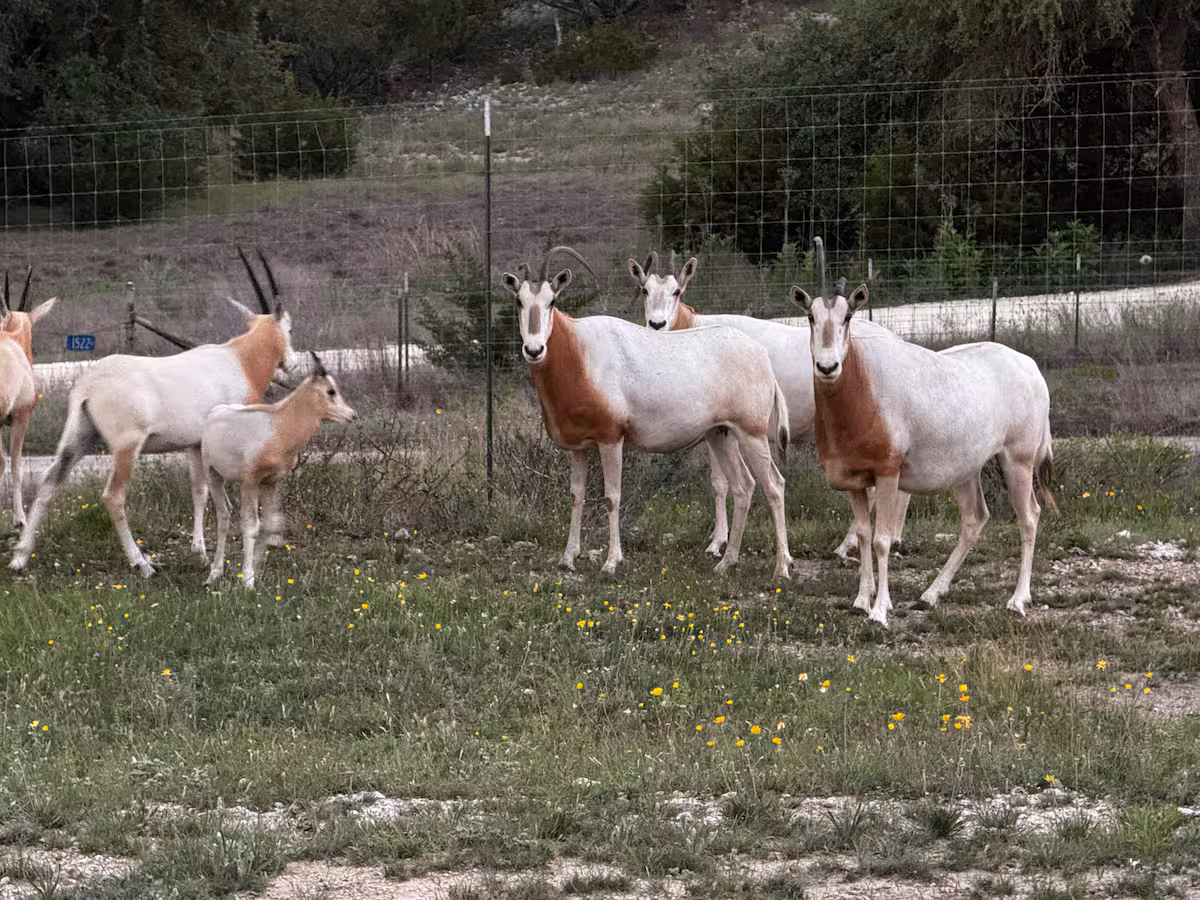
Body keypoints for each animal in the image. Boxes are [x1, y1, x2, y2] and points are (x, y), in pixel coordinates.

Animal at [11, 248, 294, 576]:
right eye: (290, 327)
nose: (291, 362)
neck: (240, 359)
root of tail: (88, 386)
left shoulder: (195, 445)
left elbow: (199, 491)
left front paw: (199, 551)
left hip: (78, 439)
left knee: (49, 482)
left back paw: (20, 557)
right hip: (127, 446)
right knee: (113, 496)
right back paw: (142, 564)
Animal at [203, 352, 356, 588]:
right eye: (331, 391)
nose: (352, 415)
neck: (278, 424)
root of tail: (214, 413)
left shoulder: (271, 481)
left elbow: (270, 524)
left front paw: (256, 569)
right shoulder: (250, 481)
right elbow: (251, 526)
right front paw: (248, 579)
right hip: (212, 474)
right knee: (223, 515)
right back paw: (214, 573)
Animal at [503, 247, 793, 580]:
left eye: (552, 300)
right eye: (519, 301)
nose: (534, 349)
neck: (578, 349)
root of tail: (762, 357)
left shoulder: (611, 438)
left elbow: (612, 496)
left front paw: (612, 561)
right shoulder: (579, 447)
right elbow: (577, 495)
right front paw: (567, 557)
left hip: (751, 434)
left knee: (774, 486)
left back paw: (781, 567)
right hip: (720, 435)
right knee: (744, 486)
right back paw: (726, 562)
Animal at [631, 247, 911, 561]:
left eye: (677, 291)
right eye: (644, 290)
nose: (657, 324)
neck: (696, 329)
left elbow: (720, 482)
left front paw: (718, 543)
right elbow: (720, 481)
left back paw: (845, 545)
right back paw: (891, 538)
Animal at [790, 238, 1056, 627]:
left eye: (847, 317)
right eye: (811, 317)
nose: (827, 366)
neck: (864, 385)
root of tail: (1031, 367)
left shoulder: (888, 474)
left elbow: (883, 539)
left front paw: (880, 610)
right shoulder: (855, 480)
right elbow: (863, 535)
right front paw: (861, 600)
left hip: (1017, 461)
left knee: (1030, 517)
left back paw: (1018, 599)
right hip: (966, 471)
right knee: (975, 518)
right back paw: (930, 595)